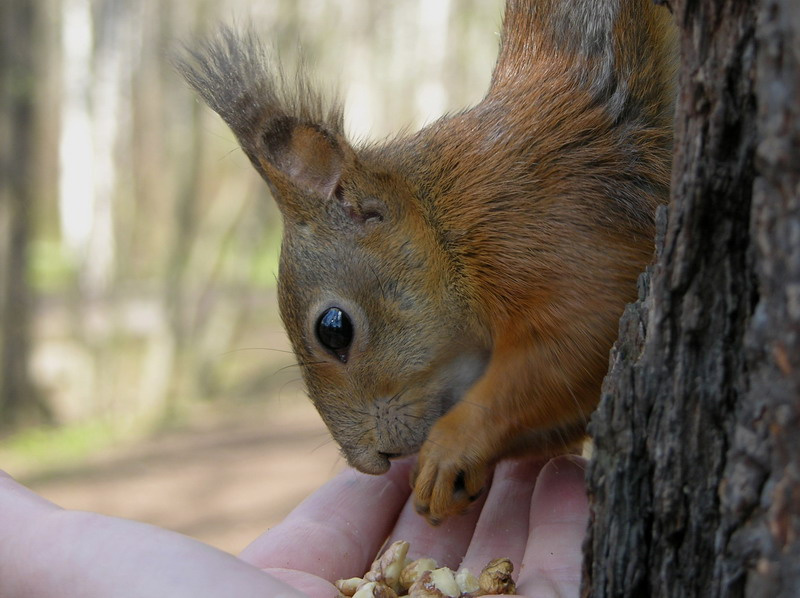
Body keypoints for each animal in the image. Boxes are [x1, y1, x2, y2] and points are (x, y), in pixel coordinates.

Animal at [177, 0, 677, 524]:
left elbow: (574, 342)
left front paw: (450, 450)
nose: (371, 461)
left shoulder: (552, 232)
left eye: (334, 329)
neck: (443, 222)